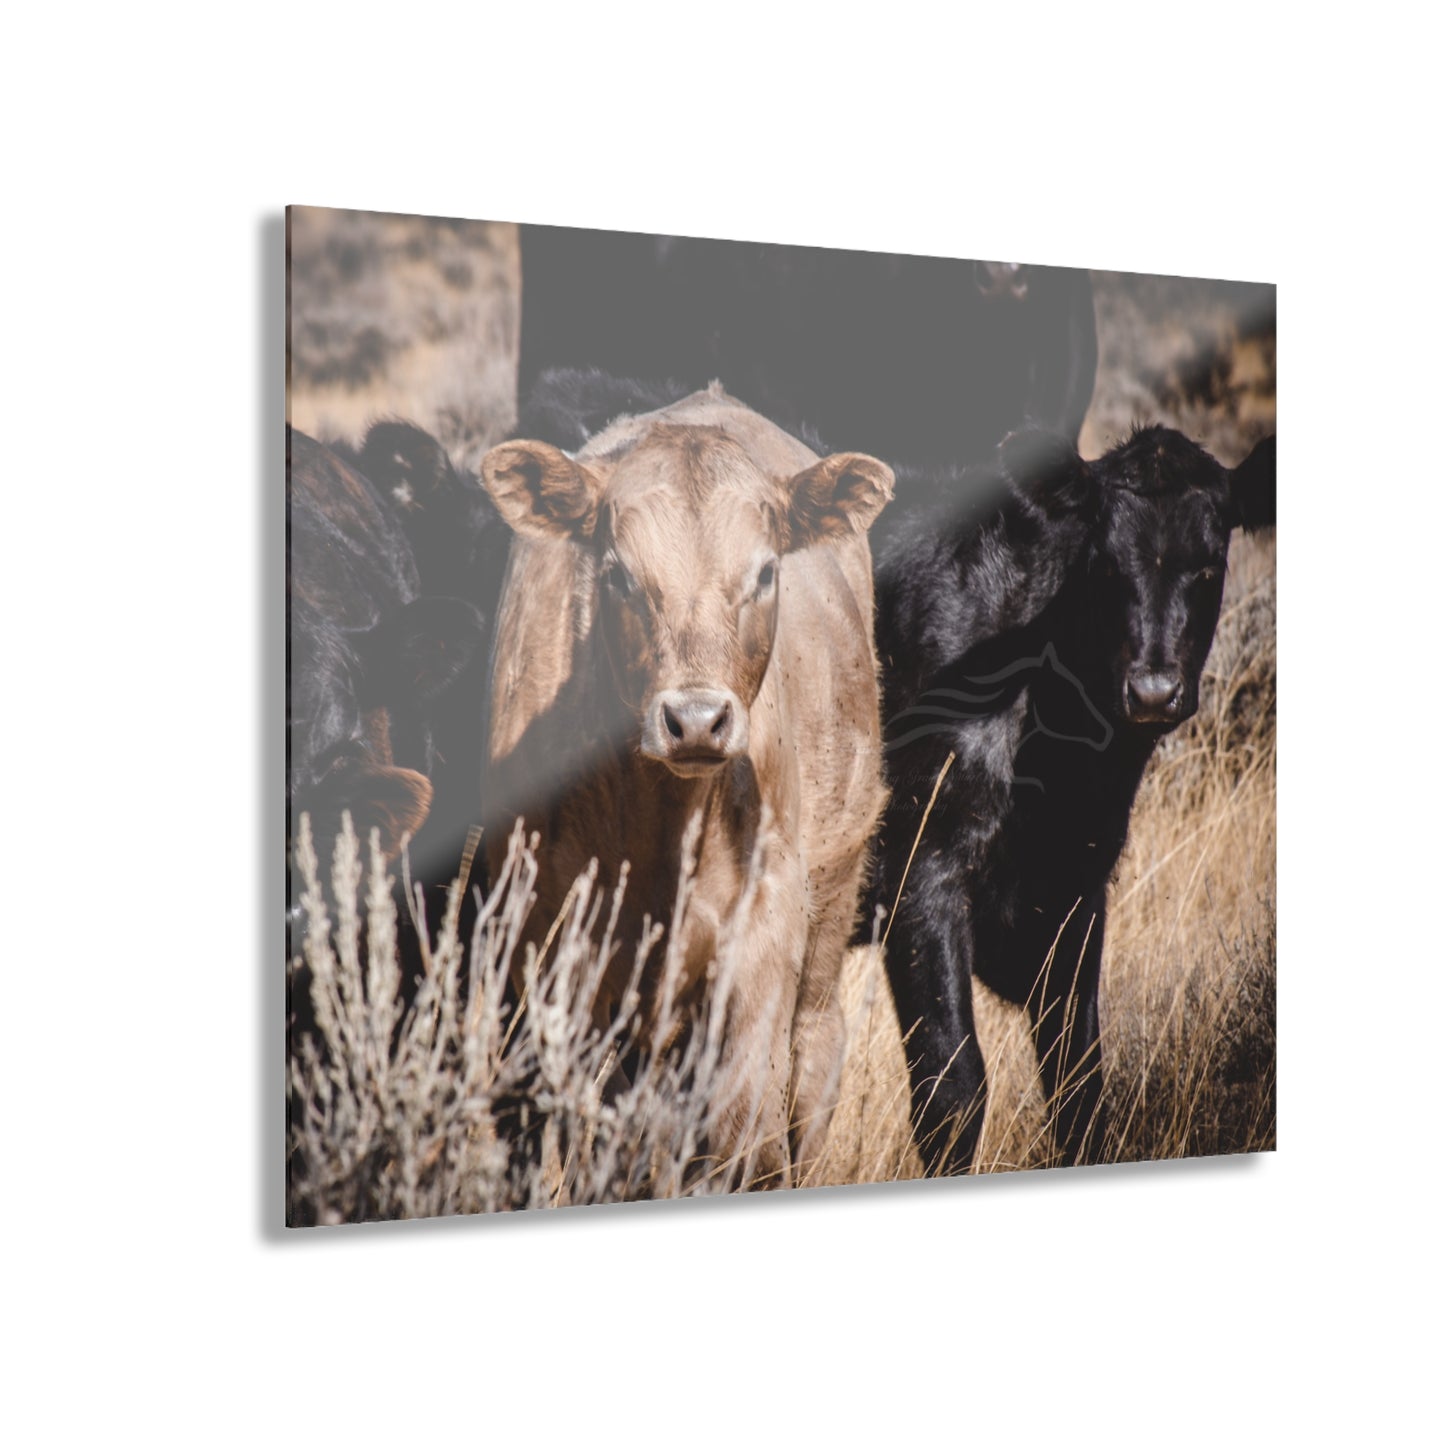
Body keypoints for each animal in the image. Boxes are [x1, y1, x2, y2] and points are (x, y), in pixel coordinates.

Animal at [479, 385, 893, 1186]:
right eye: (618, 574)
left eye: (764, 572)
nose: (695, 720)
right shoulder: (552, 948)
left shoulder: (762, 934)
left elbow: (744, 1136)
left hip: (829, 913)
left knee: (810, 1063)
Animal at [868, 425, 1276, 1171]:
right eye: (1104, 566)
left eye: (1209, 565)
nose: (1152, 691)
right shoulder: (920, 870)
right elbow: (952, 1089)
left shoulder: (1077, 887)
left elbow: (1078, 1085)